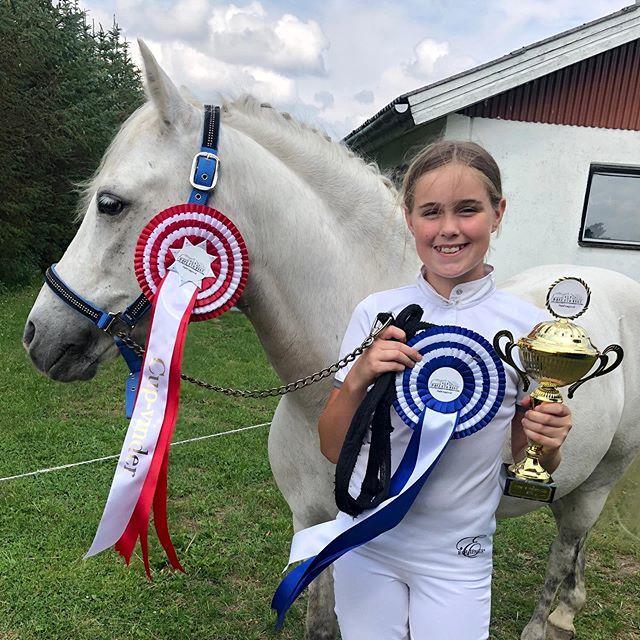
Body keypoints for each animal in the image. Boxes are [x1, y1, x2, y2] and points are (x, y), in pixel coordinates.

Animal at [23, 41, 640, 640]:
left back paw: (548, 621)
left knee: (565, 548)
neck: (324, 395)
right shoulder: (313, 521)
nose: (37, 336)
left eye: (111, 202)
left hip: (596, 482)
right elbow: (320, 620)